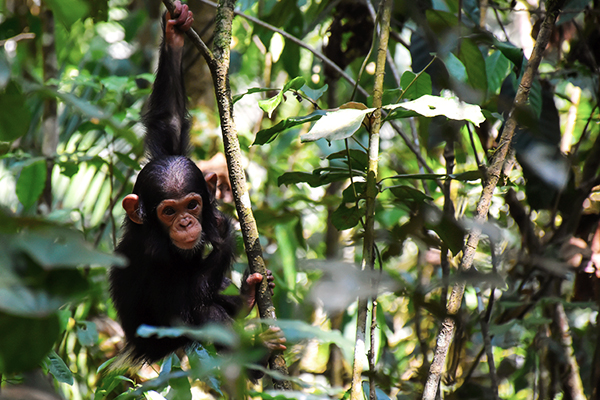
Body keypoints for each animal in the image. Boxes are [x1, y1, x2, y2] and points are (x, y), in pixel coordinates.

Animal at [108, 0, 284, 366]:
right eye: (169, 212)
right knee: (201, 314)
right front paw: (223, 234)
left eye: (191, 204)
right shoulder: (156, 251)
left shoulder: (168, 150)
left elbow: (169, 121)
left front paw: (175, 32)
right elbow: (182, 305)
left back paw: (246, 298)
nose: (187, 222)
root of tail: (135, 349)